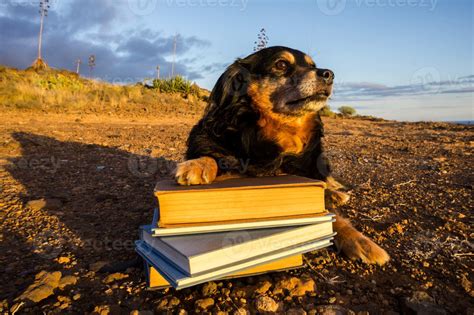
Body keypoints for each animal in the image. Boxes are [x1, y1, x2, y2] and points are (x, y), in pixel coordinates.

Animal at [174, 45, 388, 266]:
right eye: (282, 64)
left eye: (313, 65)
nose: (328, 74)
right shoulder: (208, 138)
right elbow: (212, 153)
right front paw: (197, 165)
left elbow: (330, 213)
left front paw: (359, 240)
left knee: (326, 181)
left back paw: (336, 193)